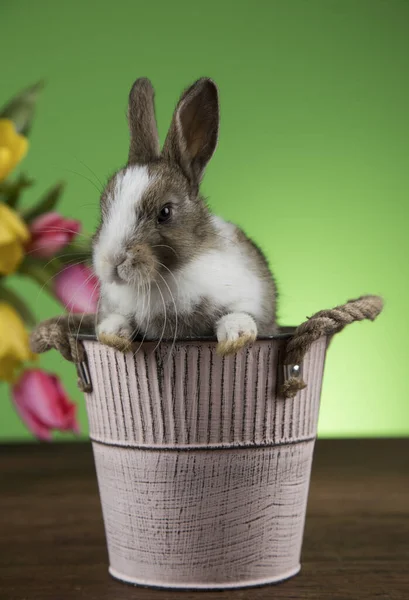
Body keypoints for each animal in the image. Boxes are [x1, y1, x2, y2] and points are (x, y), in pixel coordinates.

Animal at [30, 79, 276, 360]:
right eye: (104, 210)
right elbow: (115, 320)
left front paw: (236, 338)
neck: (161, 279)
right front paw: (113, 336)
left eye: (165, 212)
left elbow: (238, 315)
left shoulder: (251, 297)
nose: (112, 261)